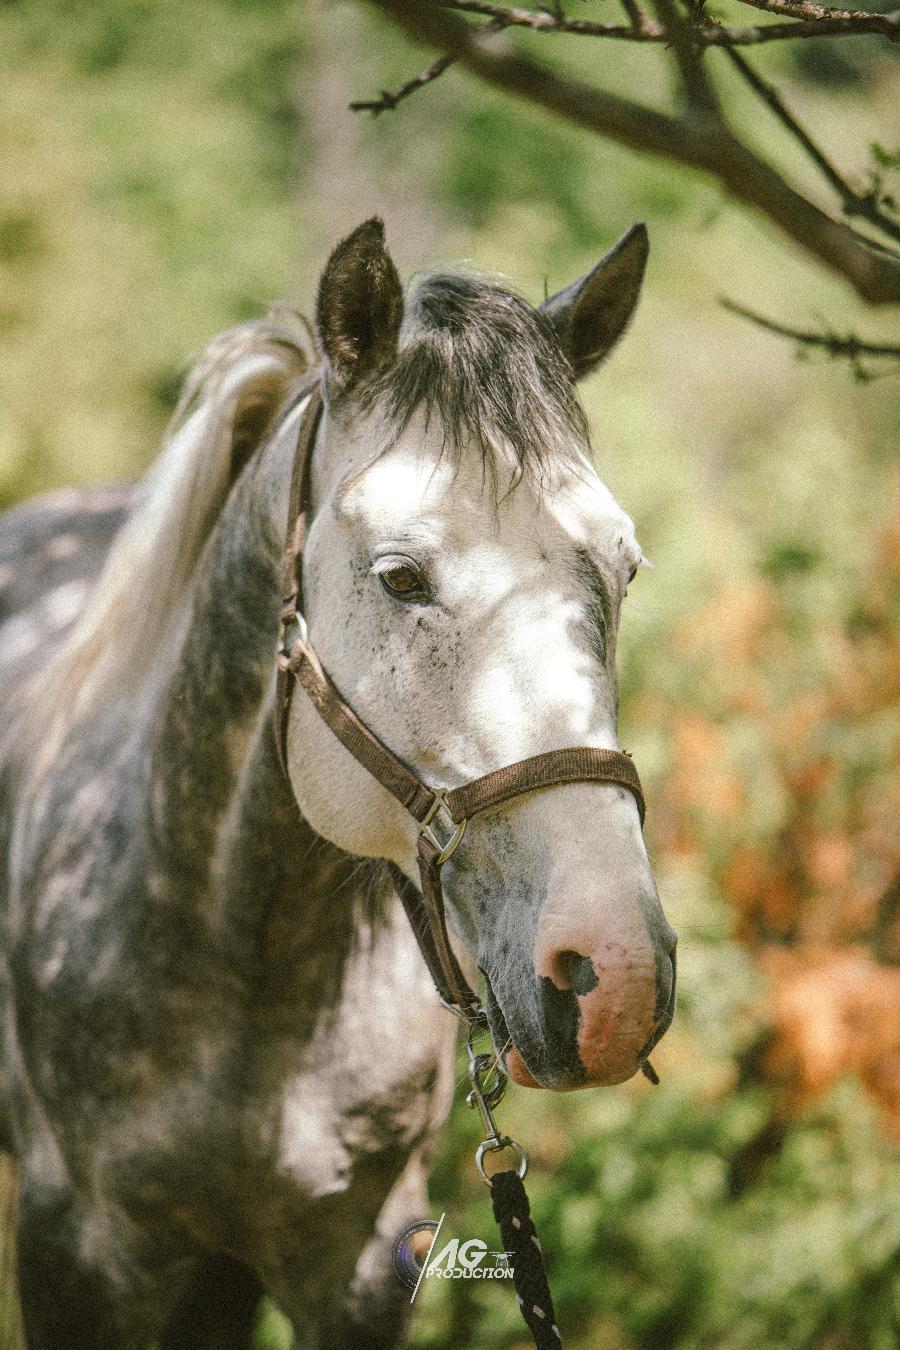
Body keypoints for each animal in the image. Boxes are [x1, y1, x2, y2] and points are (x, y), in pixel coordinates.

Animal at [0, 221, 674, 1350]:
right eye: (401, 576)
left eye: (623, 569)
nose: (614, 976)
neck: (246, 961)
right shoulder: (74, 1255)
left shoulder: (355, 1263)